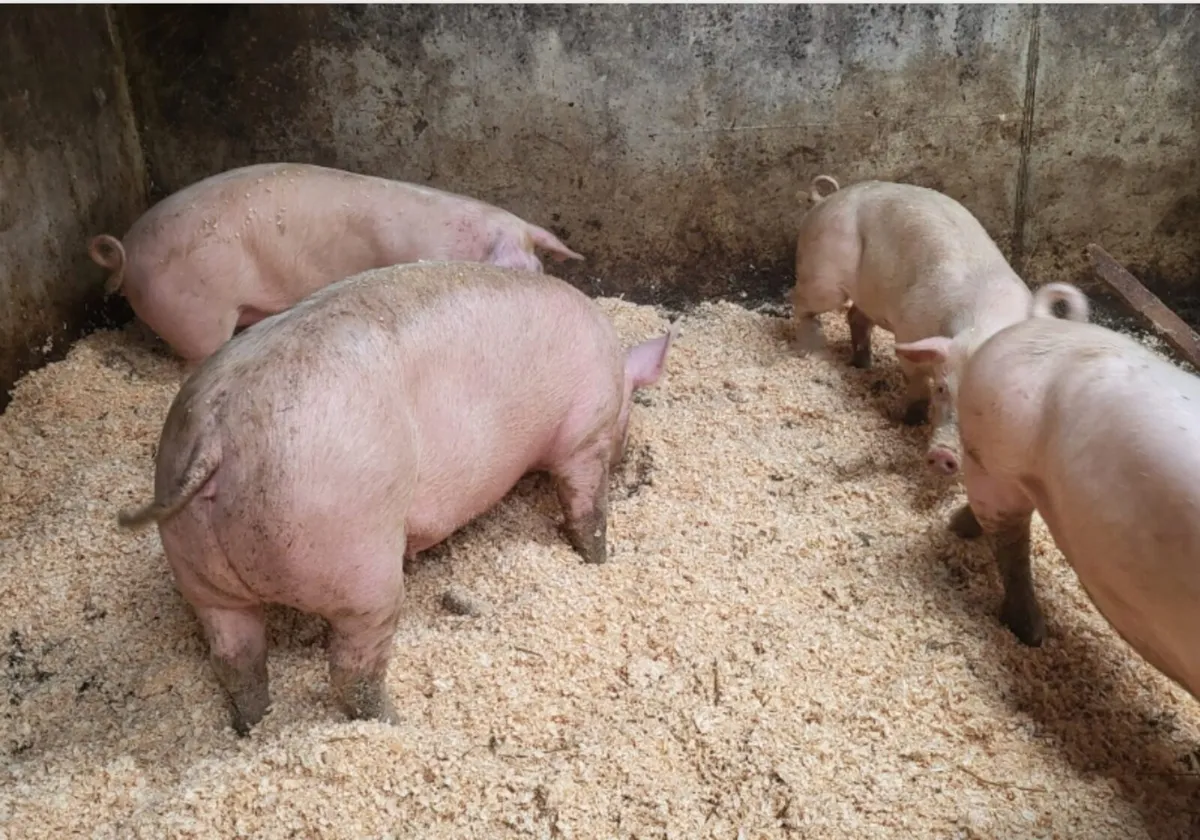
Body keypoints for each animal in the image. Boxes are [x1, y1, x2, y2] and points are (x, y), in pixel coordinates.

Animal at [117, 261, 675, 734]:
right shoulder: (586, 436)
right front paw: (600, 559)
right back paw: (397, 723)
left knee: (235, 659)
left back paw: (254, 725)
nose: (628, 455)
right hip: (354, 562)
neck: (615, 372)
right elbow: (587, 509)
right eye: (630, 411)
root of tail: (217, 435)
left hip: (199, 570)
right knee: (352, 671)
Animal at [791, 176, 1087, 476]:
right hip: (822, 274)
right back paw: (808, 350)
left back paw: (863, 364)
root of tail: (827, 200)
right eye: (943, 389)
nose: (943, 455)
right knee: (800, 302)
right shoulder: (910, 327)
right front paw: (911, 418)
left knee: (855, 317)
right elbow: (916, 377)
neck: (982, 322)